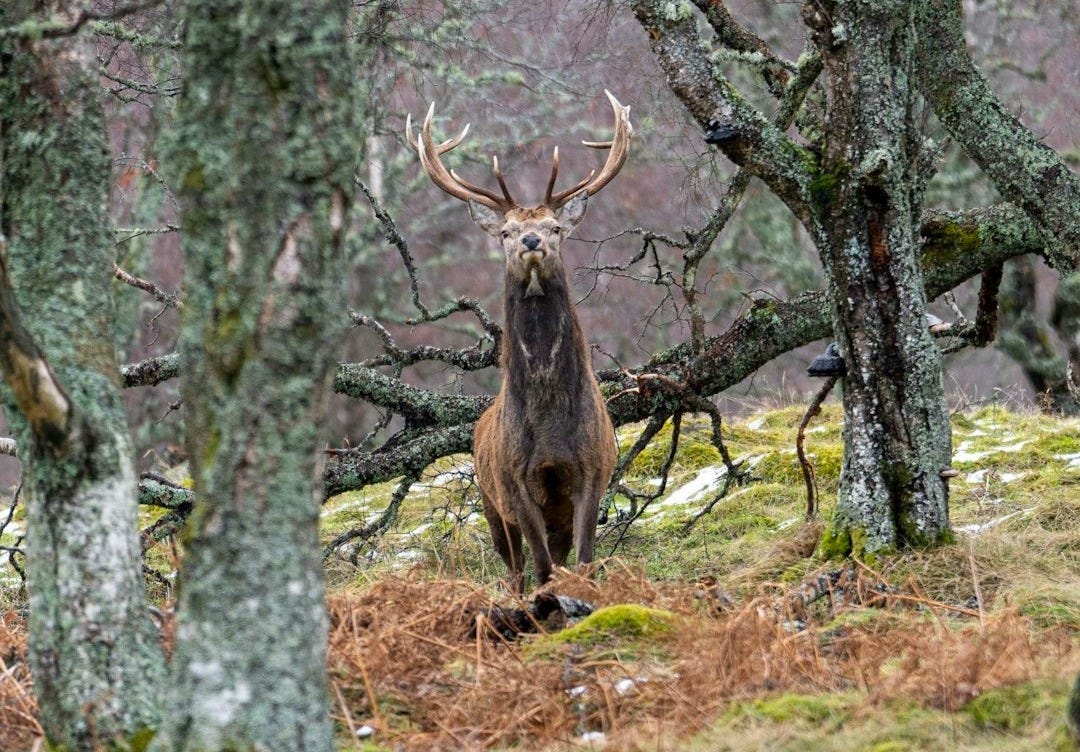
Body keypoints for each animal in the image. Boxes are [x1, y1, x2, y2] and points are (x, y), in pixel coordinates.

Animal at [406, 89, 630, 592]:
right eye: (506, 231)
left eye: (556, 228)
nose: (530, 240)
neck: (548, 427)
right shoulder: (513, 481)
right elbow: (542, 568)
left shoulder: (593, 471)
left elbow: (582, 562)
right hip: (490, 505)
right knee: (514, 569)